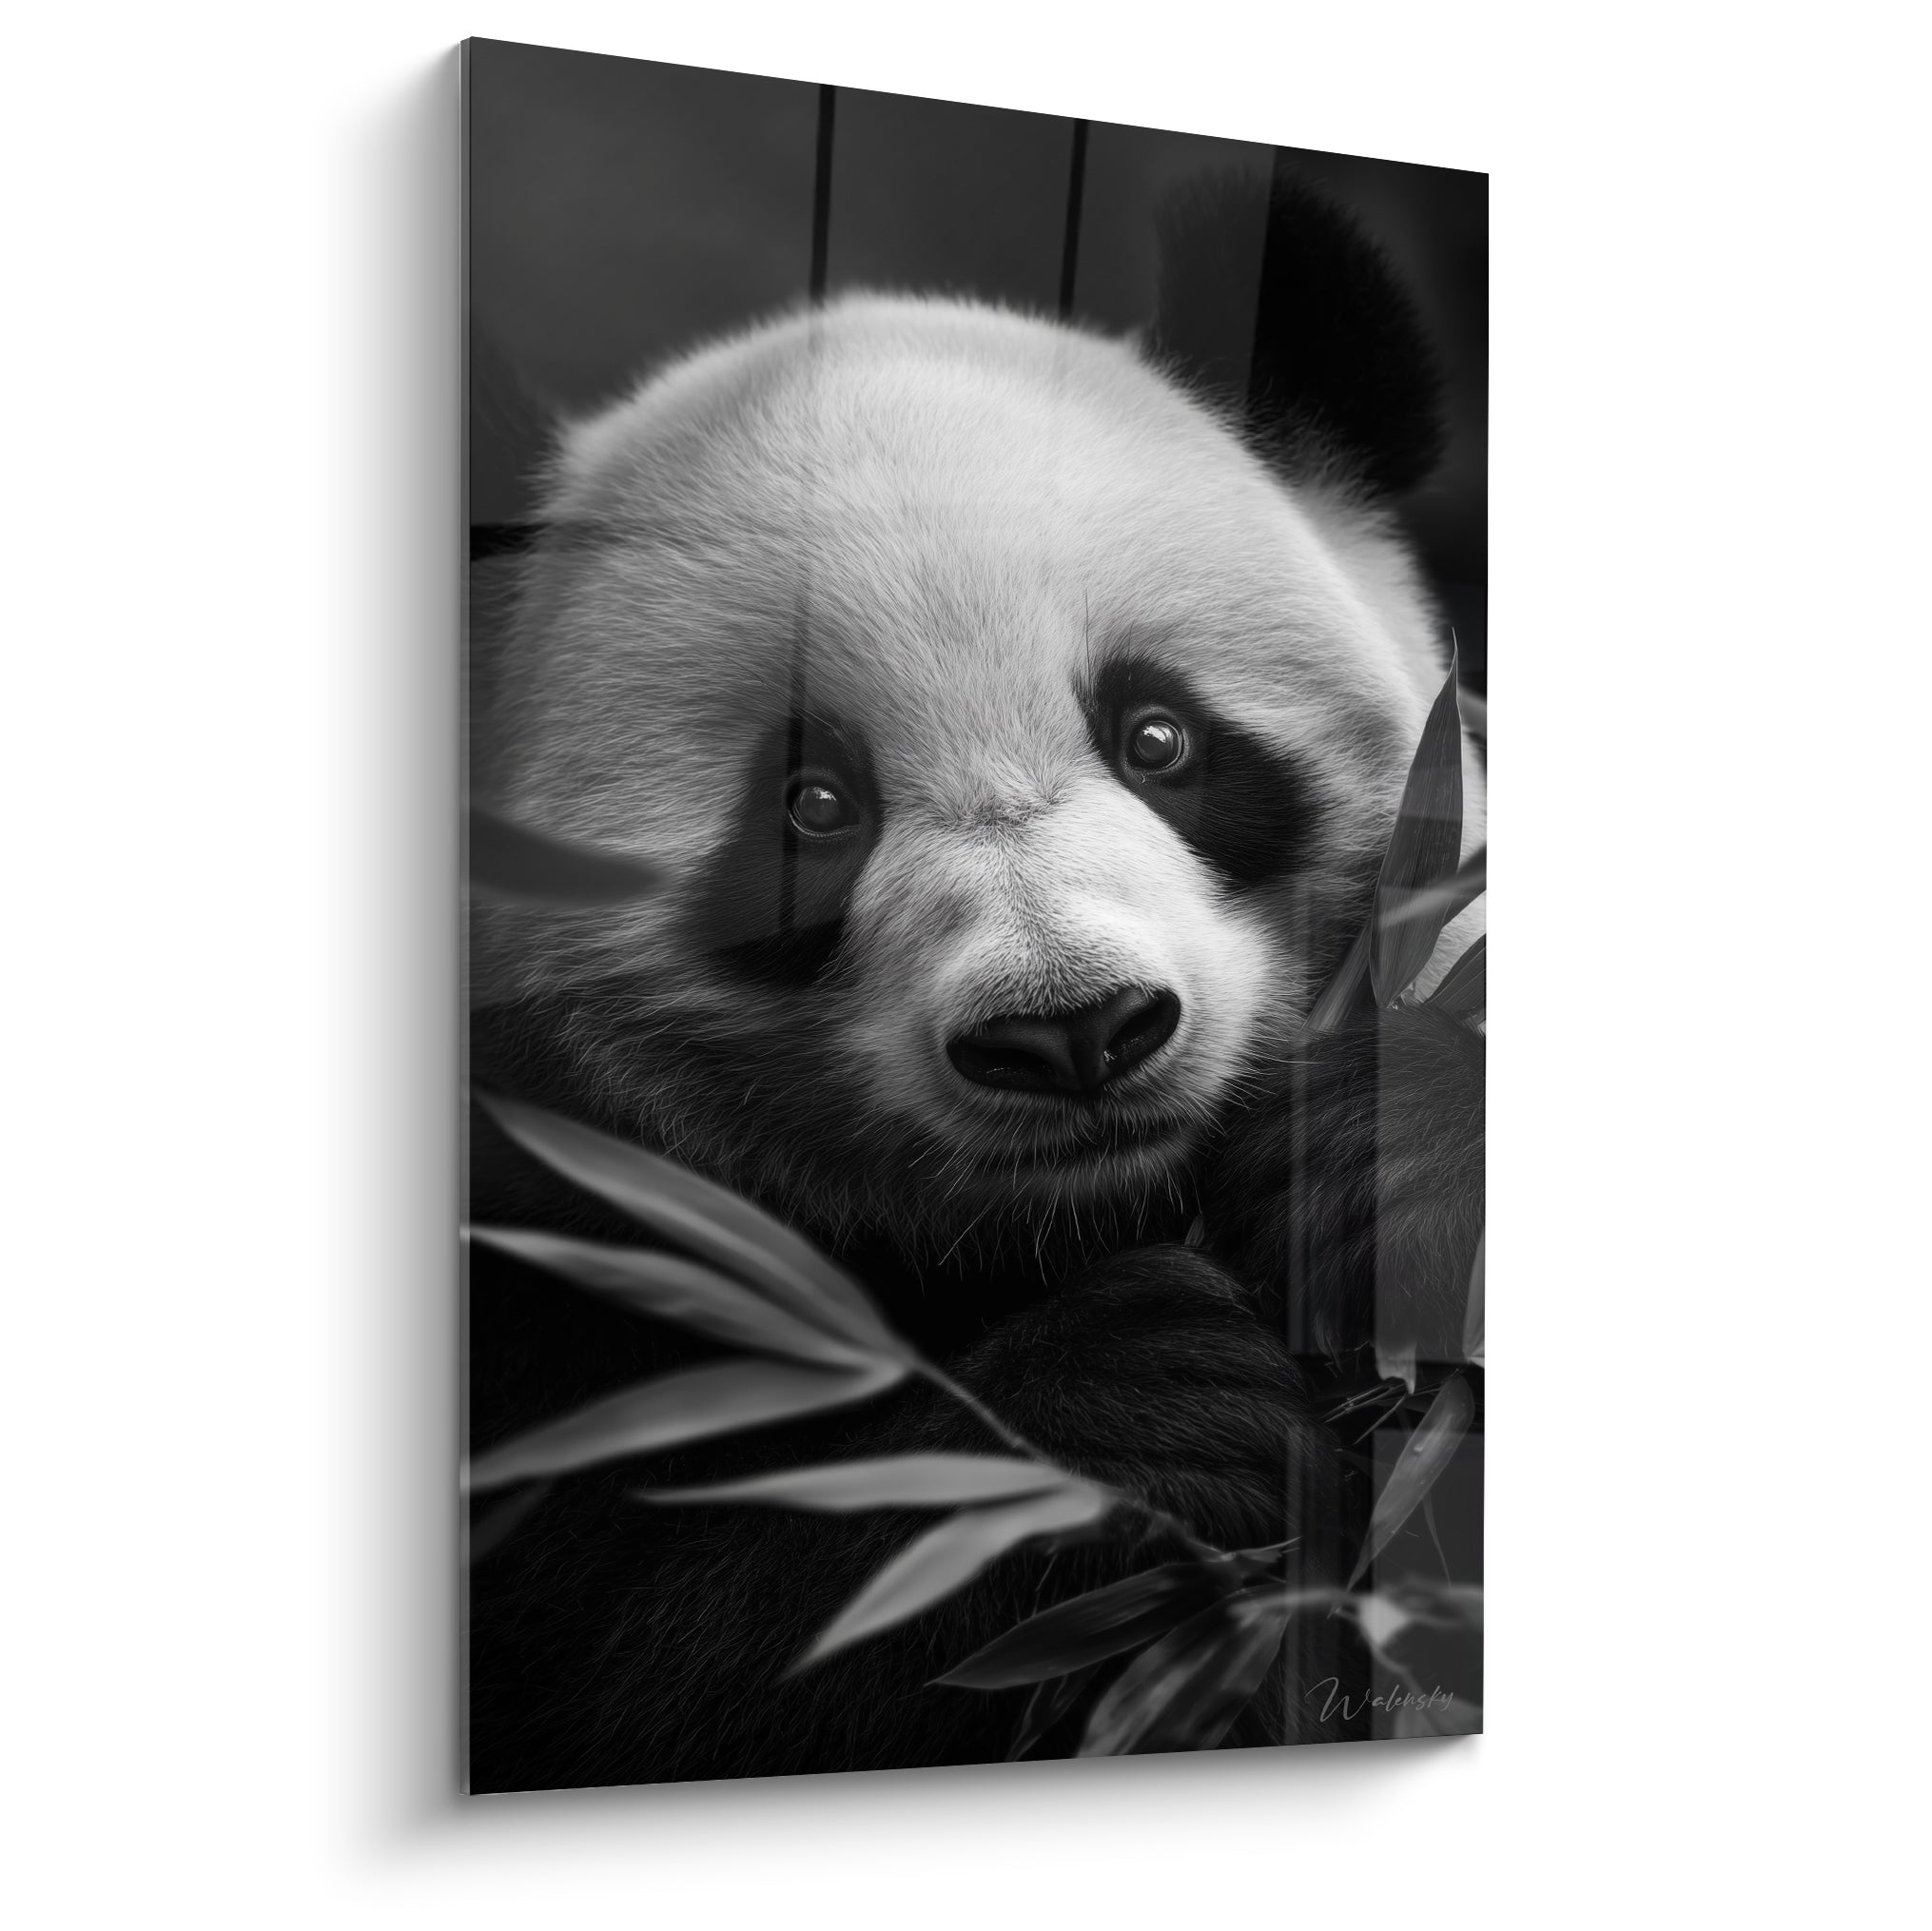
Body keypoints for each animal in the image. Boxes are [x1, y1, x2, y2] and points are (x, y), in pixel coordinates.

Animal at [466, 176, 1486, 1791]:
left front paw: (1380, 1165)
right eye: (812, 805)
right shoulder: (543, 1239)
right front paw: (1134, 1407)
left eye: (1157, 736)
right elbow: (644, 1658)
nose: (1073, 1031)